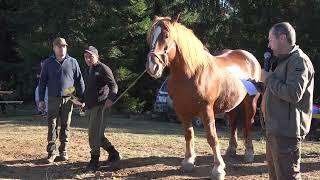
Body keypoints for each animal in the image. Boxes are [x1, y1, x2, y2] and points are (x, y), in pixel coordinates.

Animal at [146, 15, 262, 180]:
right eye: (151, 37)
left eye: (167, 35)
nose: (152, 66)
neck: (191, 73)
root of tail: (249, 57)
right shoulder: (182, 111)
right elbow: (188, 134)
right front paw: (188, 162)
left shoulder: (206, 110)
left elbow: (212, 138)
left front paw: (218, 169)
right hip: (232, 104)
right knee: (233, 123)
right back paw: (231, 150)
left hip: (250, 102)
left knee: (248, 124)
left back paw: (249, 153)